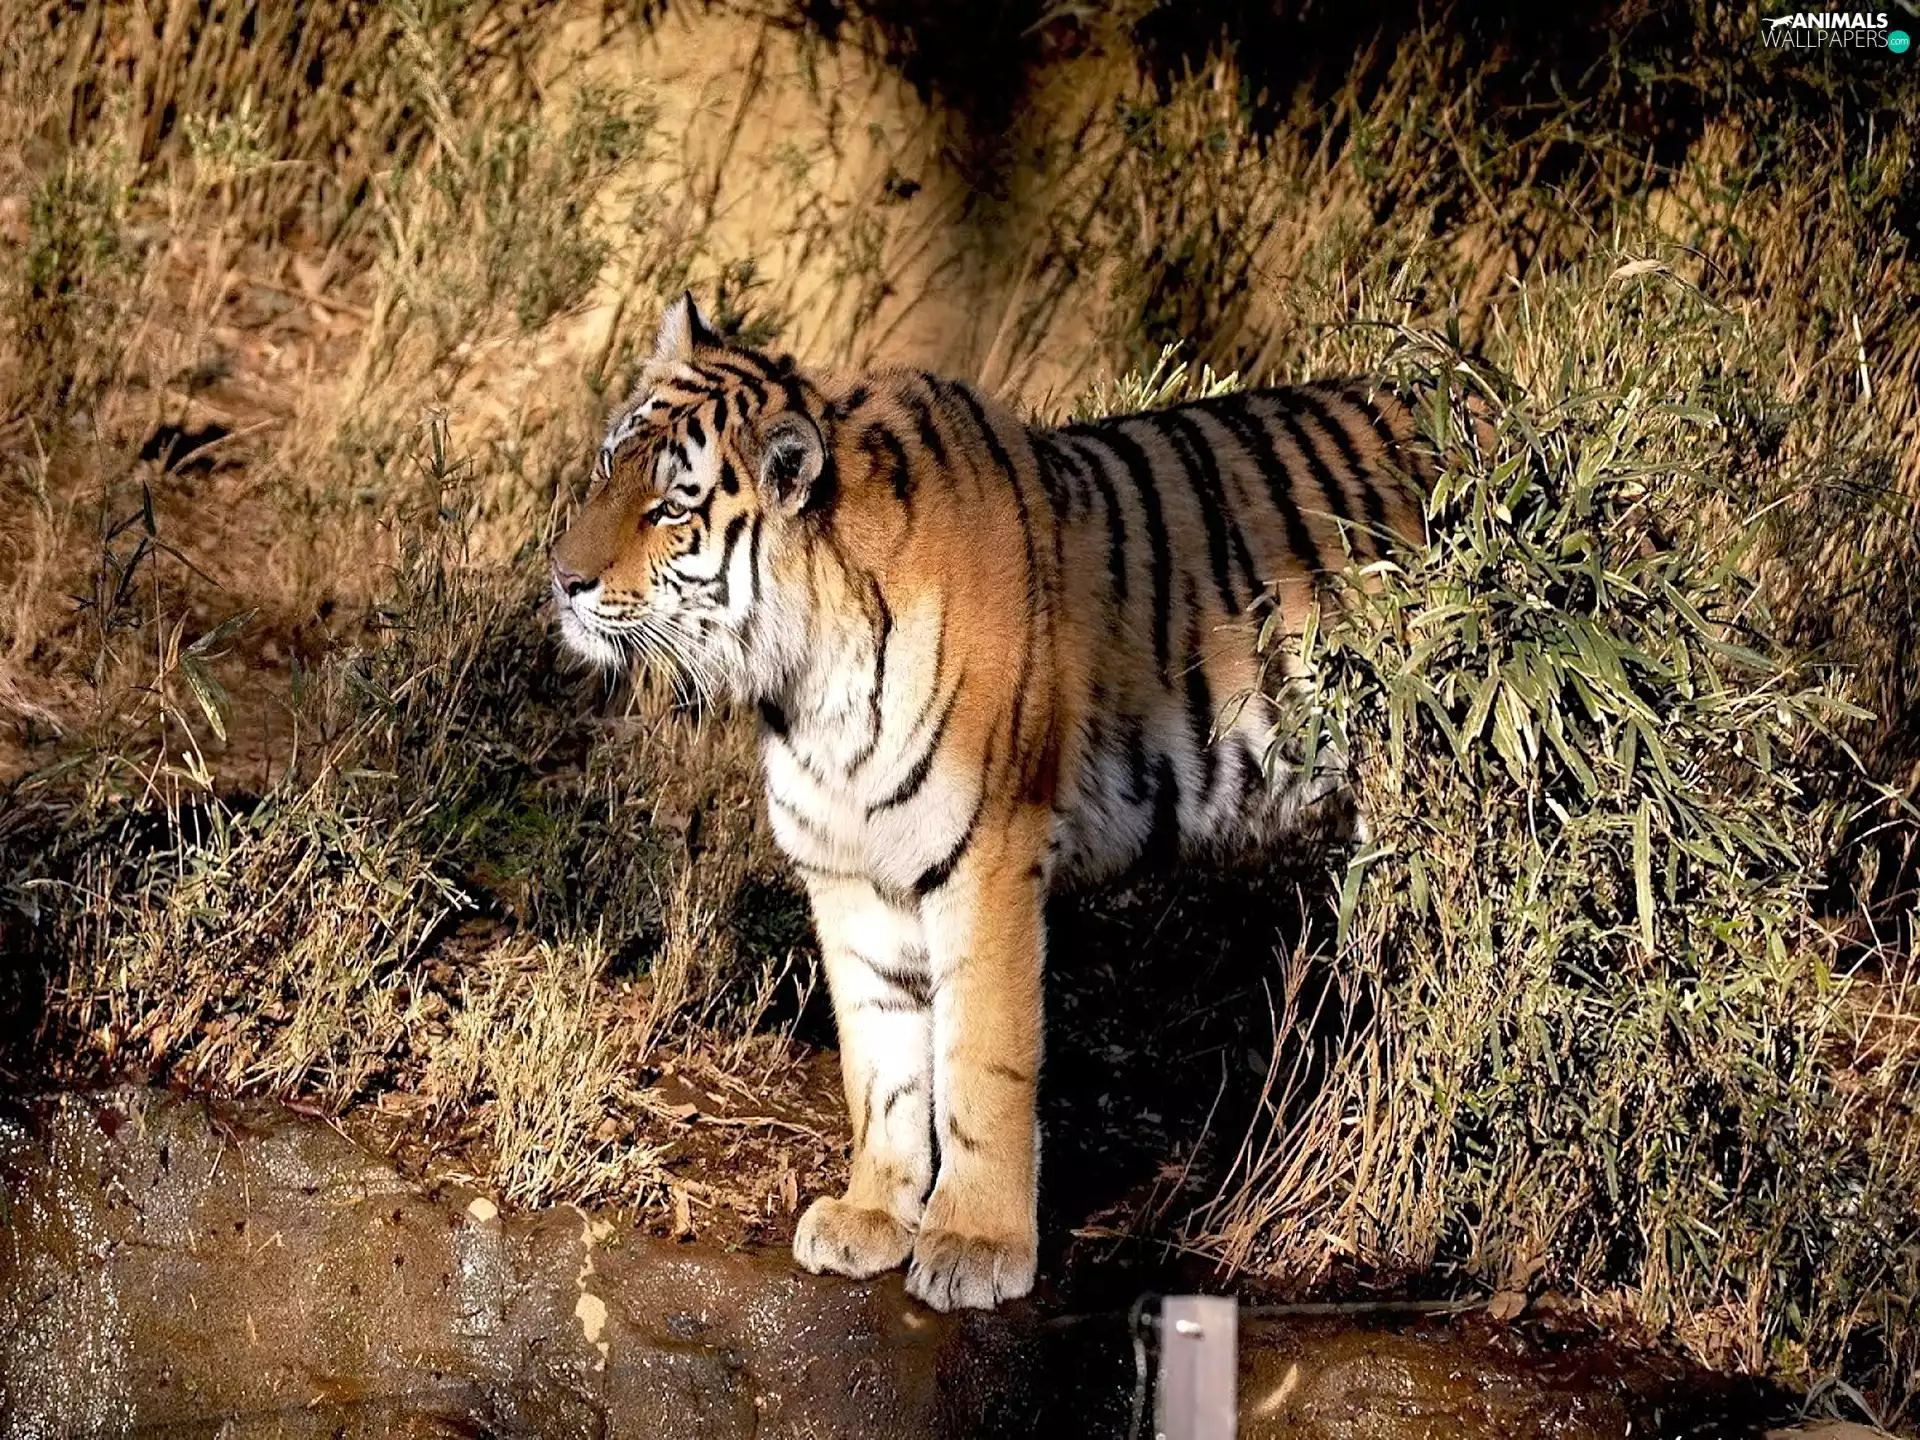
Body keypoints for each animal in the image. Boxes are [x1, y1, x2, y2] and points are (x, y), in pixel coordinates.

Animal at [548, 294, 1431, 1311]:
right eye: (607, 467)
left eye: (669, 508)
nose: (561, 580)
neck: (809, 681)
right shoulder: (848, 872)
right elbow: (879, 1062)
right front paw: (872, 1215)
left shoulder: (989, 852)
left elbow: (981, 1059)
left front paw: (975, 1243)